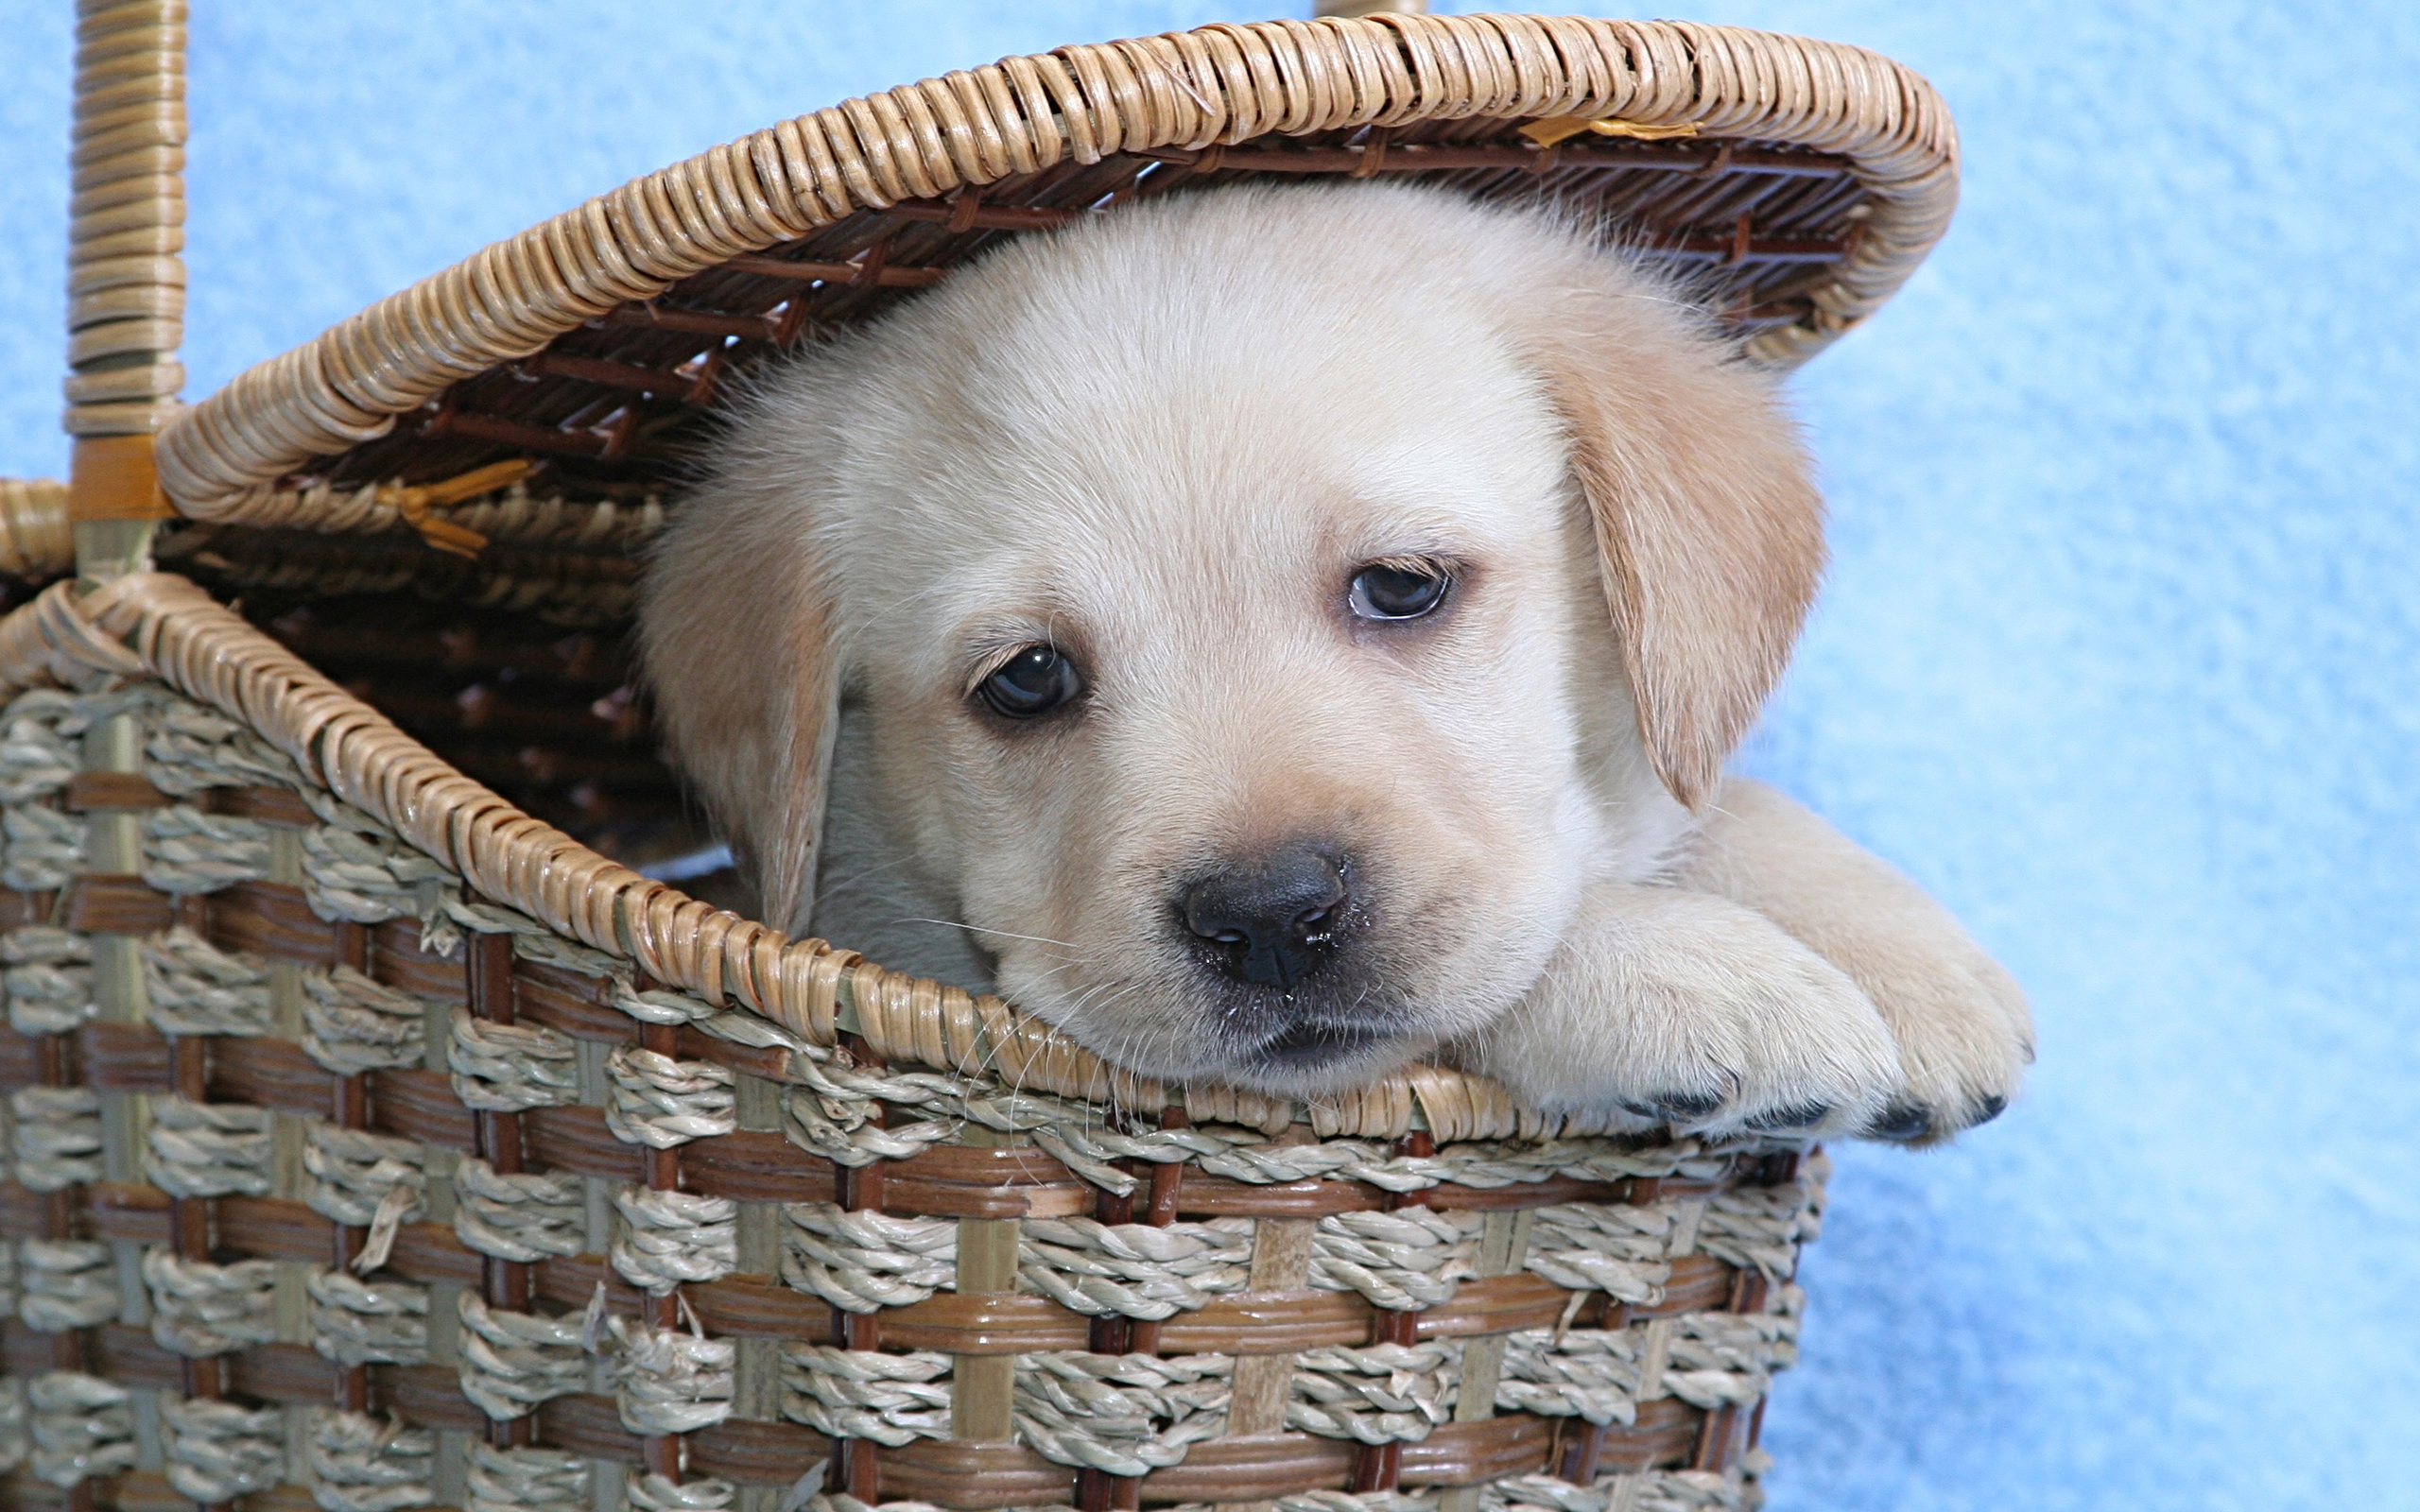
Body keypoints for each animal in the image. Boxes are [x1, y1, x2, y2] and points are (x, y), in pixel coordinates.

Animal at [633, 180, 2032, 1142]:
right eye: (1026, 679)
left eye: (1401, 586)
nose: (1268, 919)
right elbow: (1520, 943)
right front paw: (1686, 973)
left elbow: (1688, 805)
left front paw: (1900, 954)